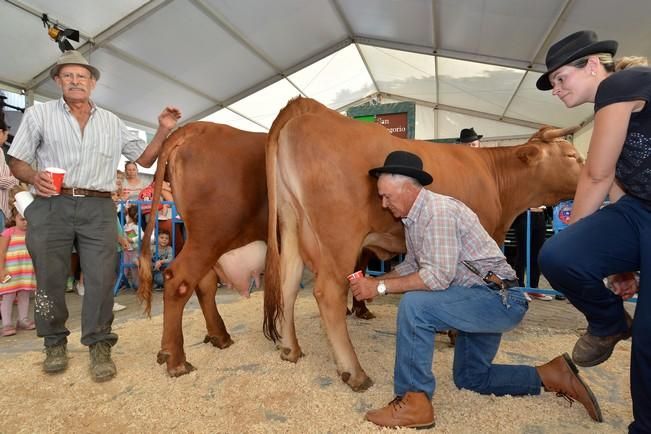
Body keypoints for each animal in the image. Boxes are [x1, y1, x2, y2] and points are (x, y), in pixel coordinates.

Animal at [264, 96, 584, 392]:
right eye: (571, 156)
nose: (589, 176)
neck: (496, 179)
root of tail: (307, 110)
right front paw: (456, 333)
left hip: (290, 224)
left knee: (288, 285)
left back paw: (290, 350)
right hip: (339, 236)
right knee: (328, 294)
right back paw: (354, 372)